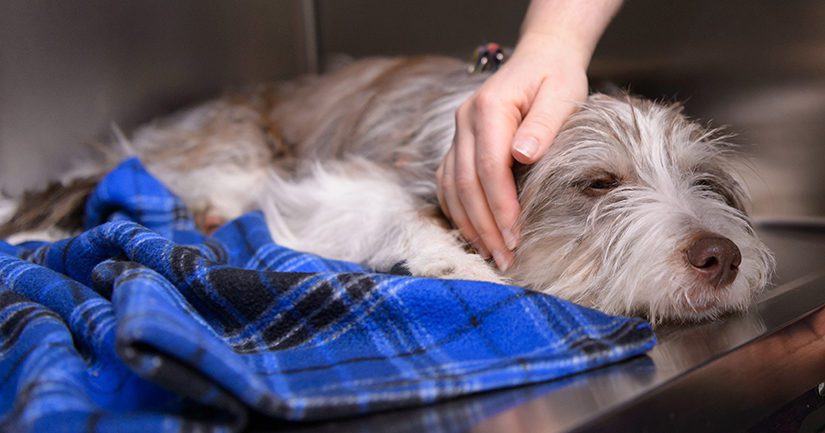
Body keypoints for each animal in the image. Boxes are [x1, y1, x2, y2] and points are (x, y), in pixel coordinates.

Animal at [0, 55, 772, 322]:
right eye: (597, 183)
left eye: (704, 181)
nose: (721, 257)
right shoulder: (328, 185)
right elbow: (390, 209)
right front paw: (456, 260)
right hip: (231, 152)